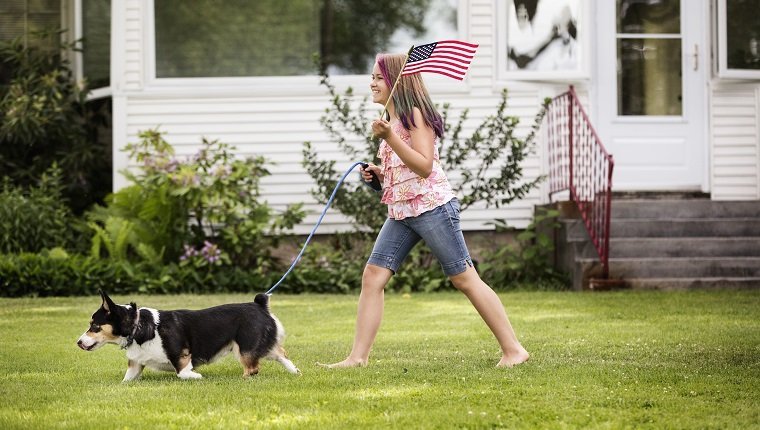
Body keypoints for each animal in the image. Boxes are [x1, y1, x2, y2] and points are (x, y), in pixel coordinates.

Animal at [78, 290, 300, 382]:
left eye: (94, 326)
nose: (78, 342)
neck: (137, 326)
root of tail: (259, 305)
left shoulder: (182, 358)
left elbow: (183, 373)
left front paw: (197, 377)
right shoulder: (135, 364)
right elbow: (126, 380)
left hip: (244, 348)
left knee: (253, 368)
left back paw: (242, 379)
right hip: (262, 345)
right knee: (281, 353)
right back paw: (295, 372)